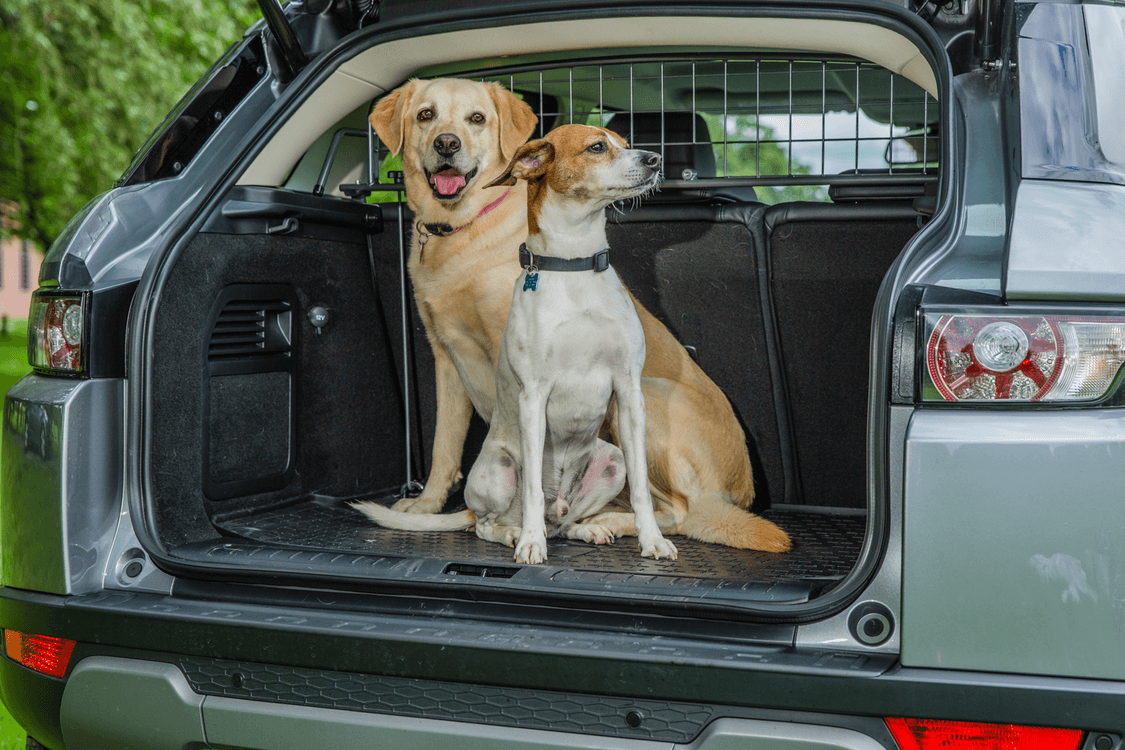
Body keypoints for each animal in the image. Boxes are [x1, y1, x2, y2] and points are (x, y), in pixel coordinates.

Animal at [353, 79, 792, 555]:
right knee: (490, 521)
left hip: (635, 422)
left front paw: (649, 541)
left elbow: (642, 491)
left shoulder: (625, 391)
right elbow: (450, 448)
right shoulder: (471, 366)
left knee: (670, 511)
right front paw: (450, 513)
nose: (655, 159)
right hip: (503, 469)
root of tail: (740, 490)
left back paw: (604, 525)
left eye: (477, 118)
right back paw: (524, 530)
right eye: (426, 115)